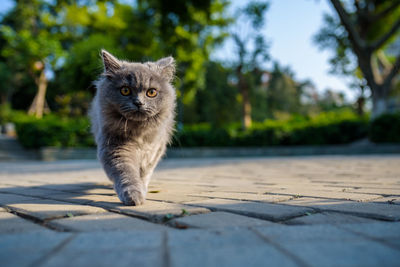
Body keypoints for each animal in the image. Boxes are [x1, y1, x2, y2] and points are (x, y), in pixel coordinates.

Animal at [89, 49, 177, 205]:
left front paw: (142, 189)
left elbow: (144, 173)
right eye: (125, 90)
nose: (139, 103)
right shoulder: (116, 148)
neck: (139, 133)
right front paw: (133, 196)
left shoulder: (154, 150)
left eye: (151, 92)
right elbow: (126, 174)